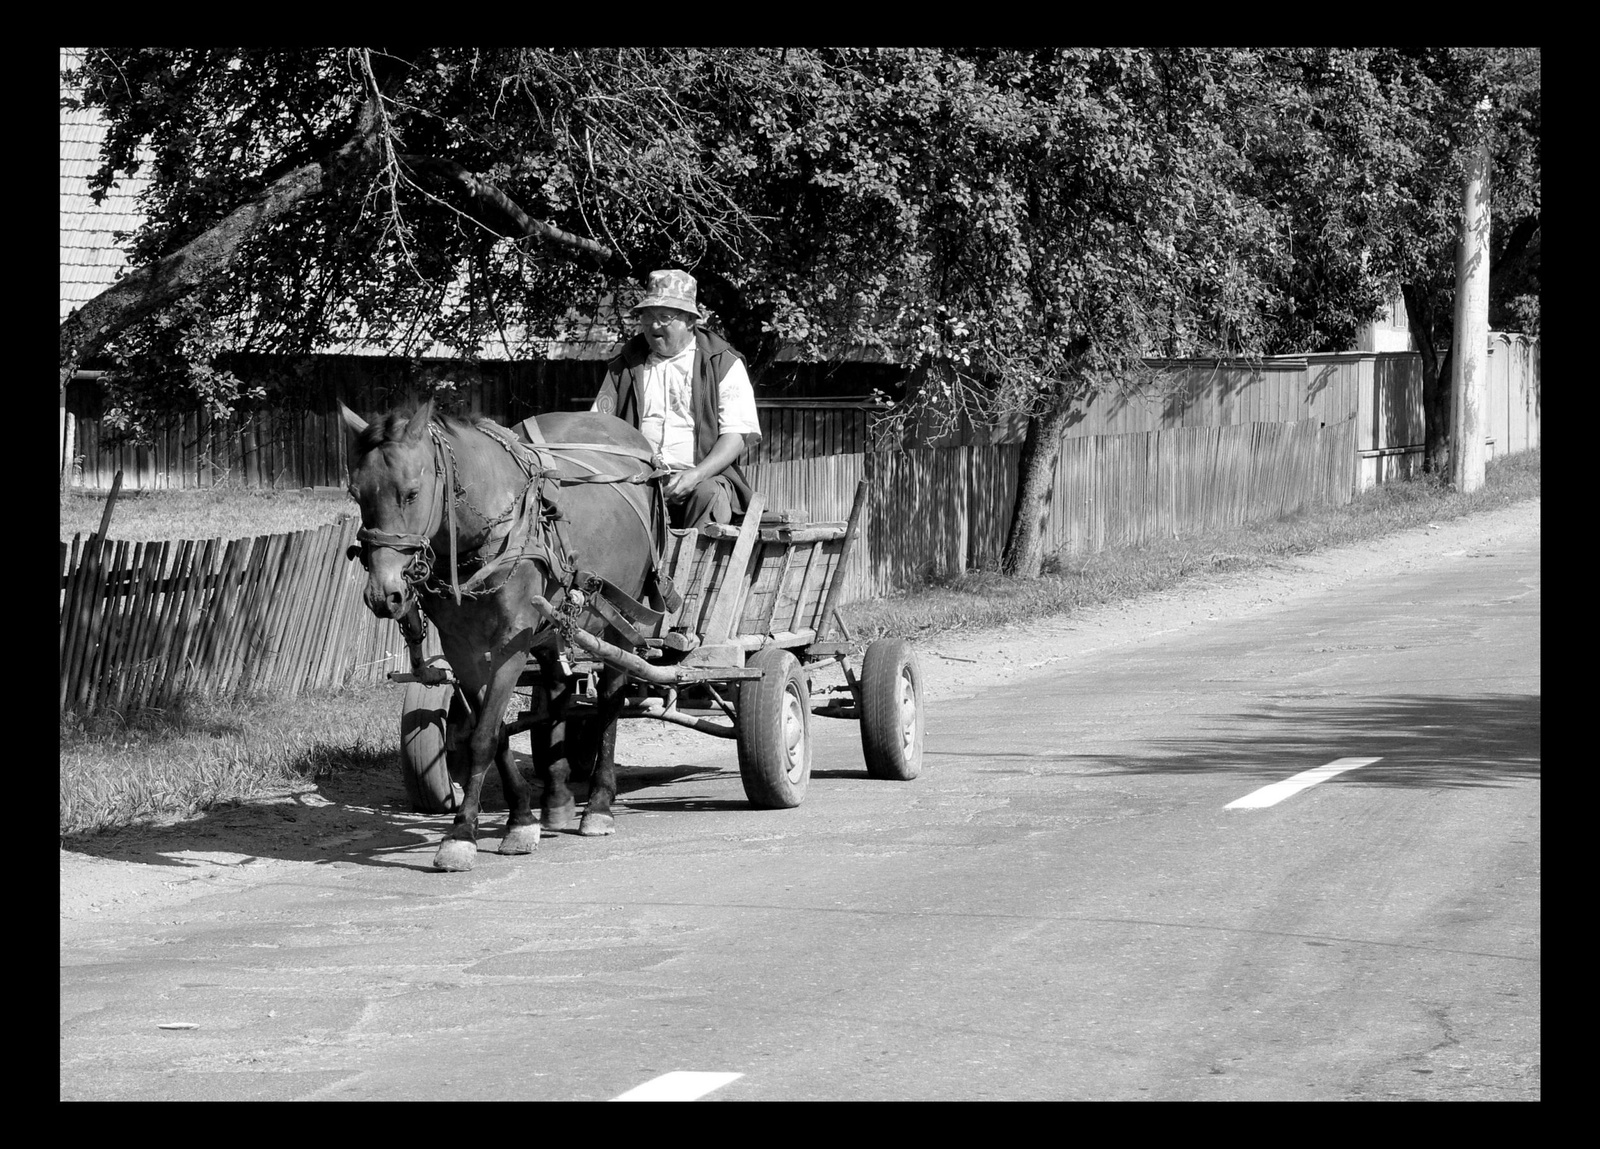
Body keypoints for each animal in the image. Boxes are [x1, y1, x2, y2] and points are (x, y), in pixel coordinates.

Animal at [340, 400, 659, 876]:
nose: (385, 594)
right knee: (558, 693)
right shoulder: (463, 648)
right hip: (552, 630)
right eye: (356, 494)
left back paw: (599, 804)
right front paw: (522, 817)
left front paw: (460, 834)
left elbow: (483, 737)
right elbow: (494, 729)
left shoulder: (511, 642)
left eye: (411, 493)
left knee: (610, 699)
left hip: (621, 619)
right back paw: (557, 798)